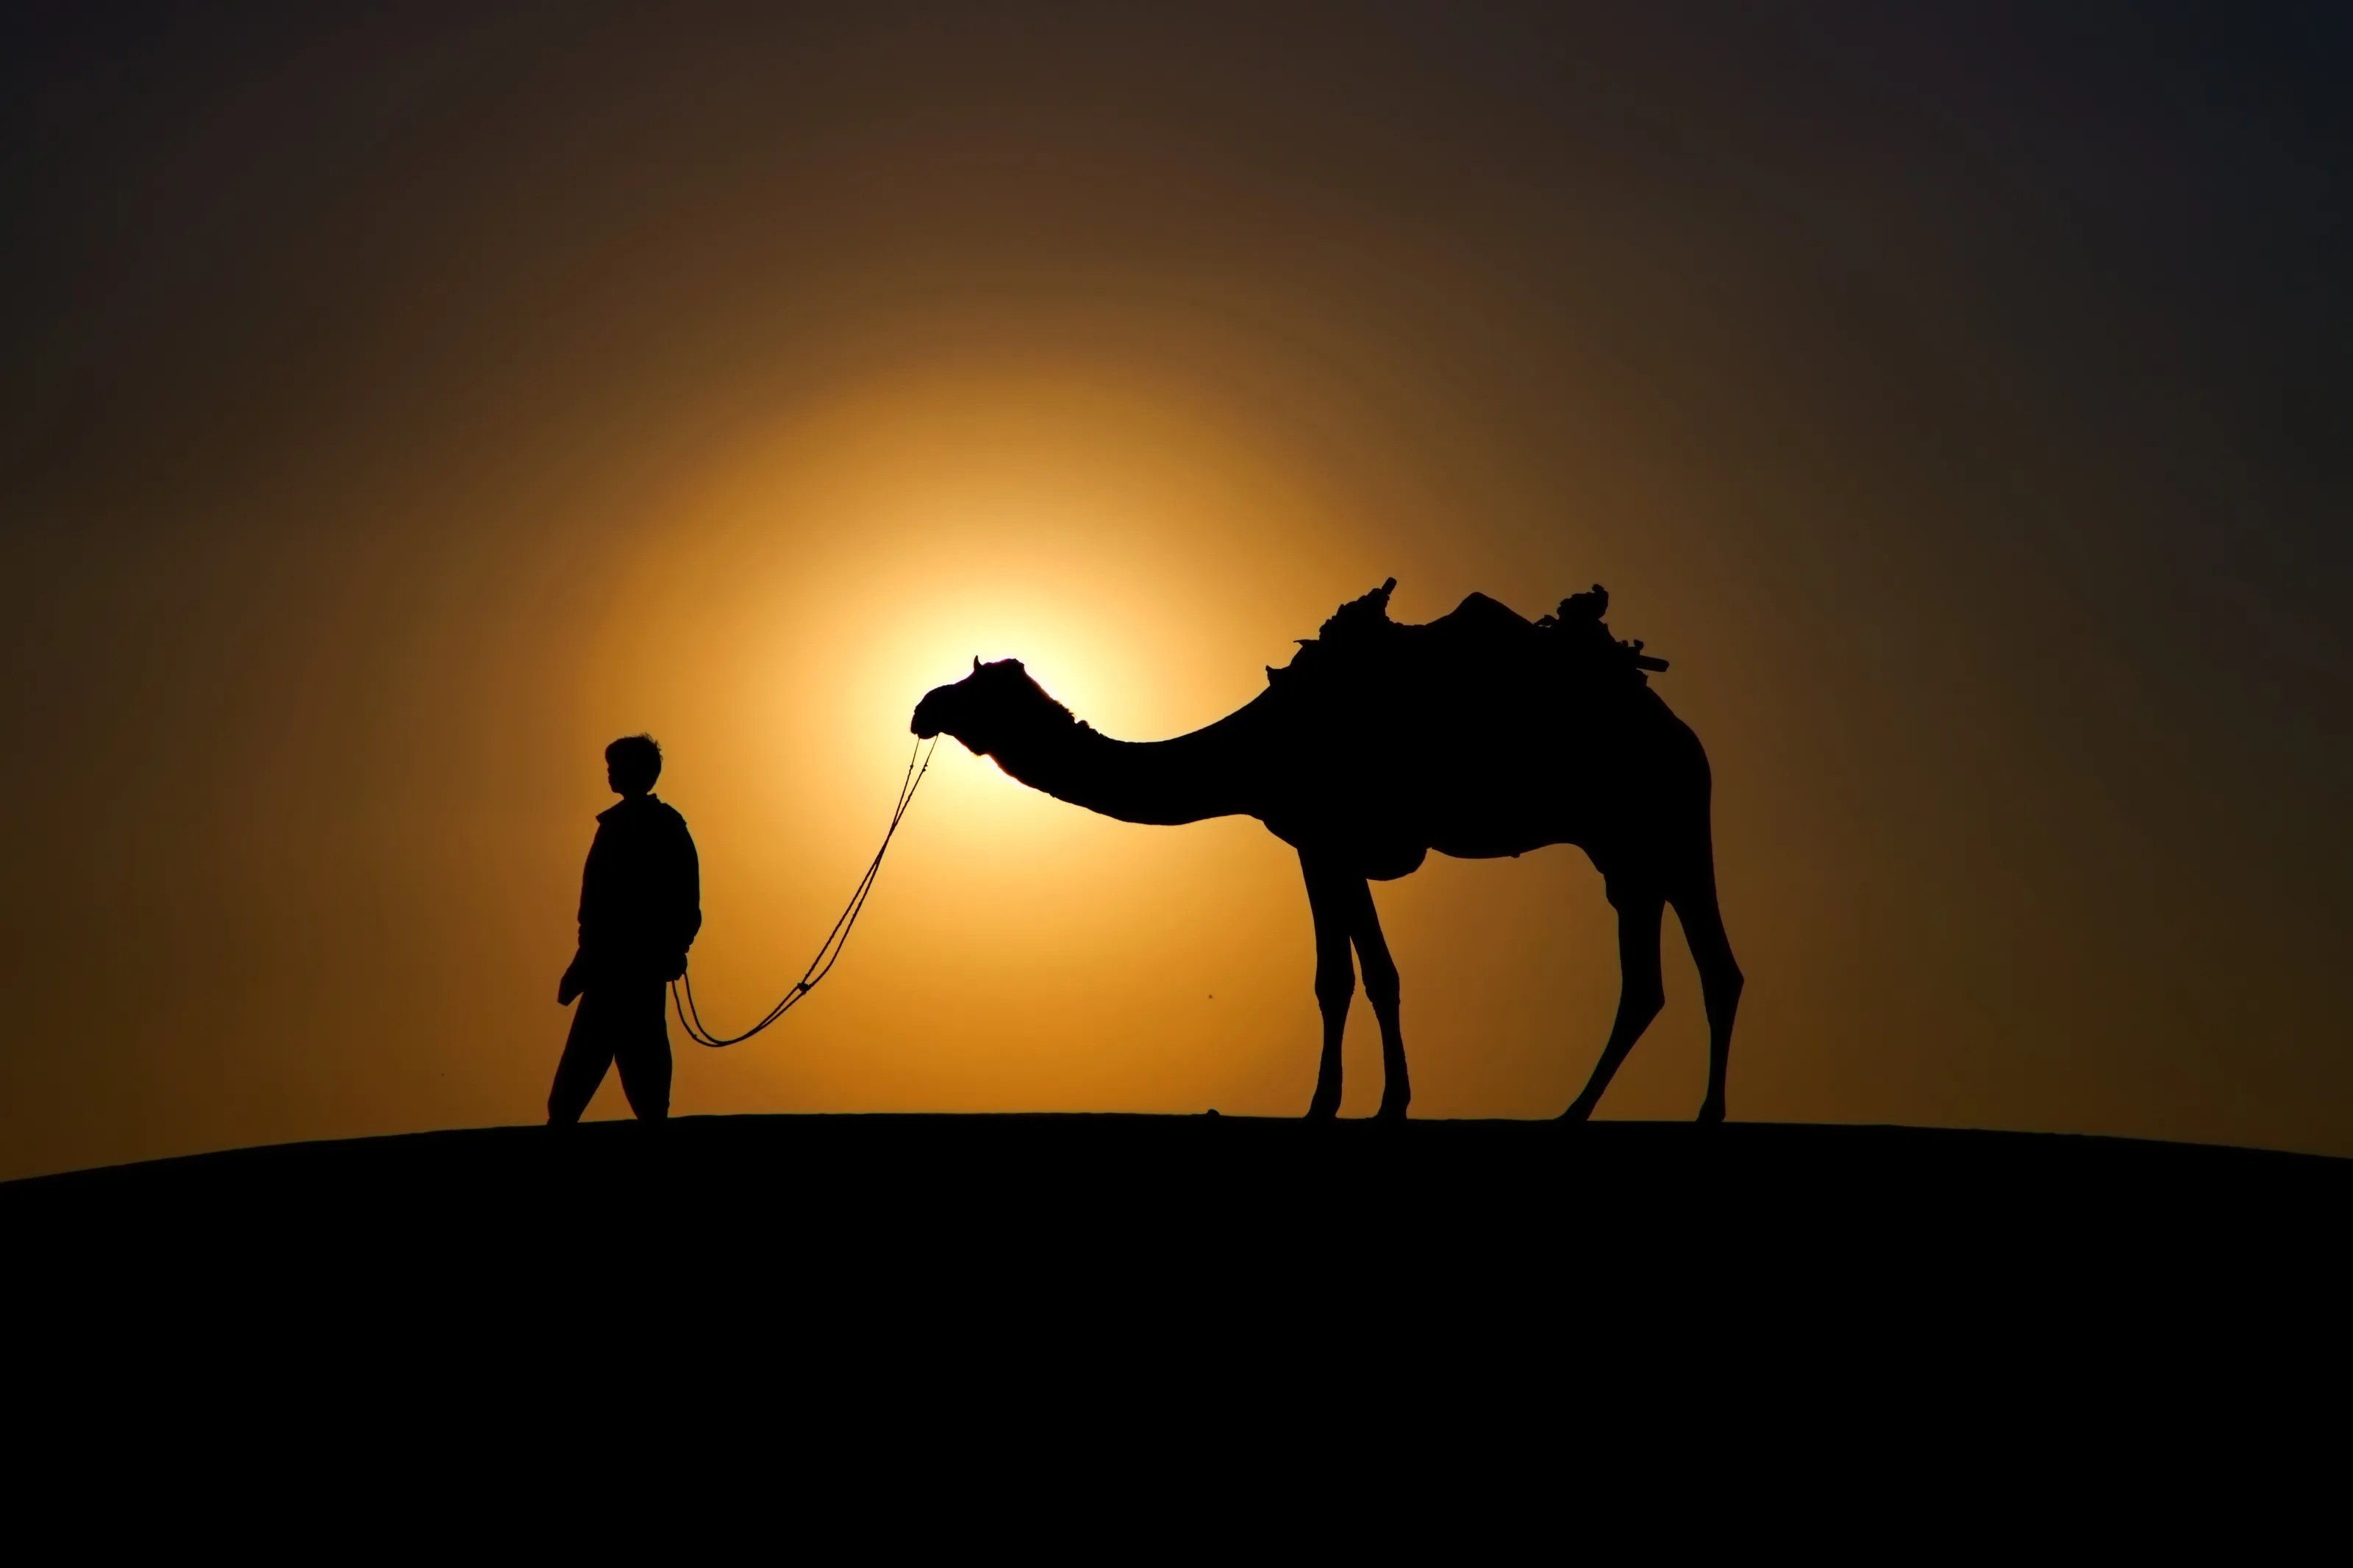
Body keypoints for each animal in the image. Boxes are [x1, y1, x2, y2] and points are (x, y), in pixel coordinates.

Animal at [909, 579, 1742, 1122]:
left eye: (978, 687)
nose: (922, 707)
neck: (1255, 745)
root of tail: (1684, 735)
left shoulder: (1326, 838)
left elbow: (1356, 976)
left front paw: (1353, 1105)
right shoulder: (1319, 846)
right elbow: (1353, 976)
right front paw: (1360, 1103)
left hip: (1662, 820)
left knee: (1706, 969)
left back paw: (1682, 1115)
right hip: (1629, 849)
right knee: (1662, 979)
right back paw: (1586, 1113)